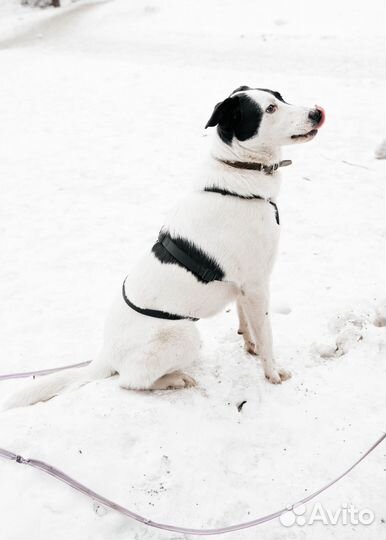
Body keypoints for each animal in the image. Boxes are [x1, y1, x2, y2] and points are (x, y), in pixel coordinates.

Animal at [5, 84, 326, 408]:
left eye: (281, 97)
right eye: (270, 109)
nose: (317, 112)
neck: (237, 177)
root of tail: (105, 354)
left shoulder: (243, 288)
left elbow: (245, 322)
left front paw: (250, 346)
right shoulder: (257, 284)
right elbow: (266, 334)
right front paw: (272, 372)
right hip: (185, 334)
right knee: (130, 381)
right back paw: (174, 379)